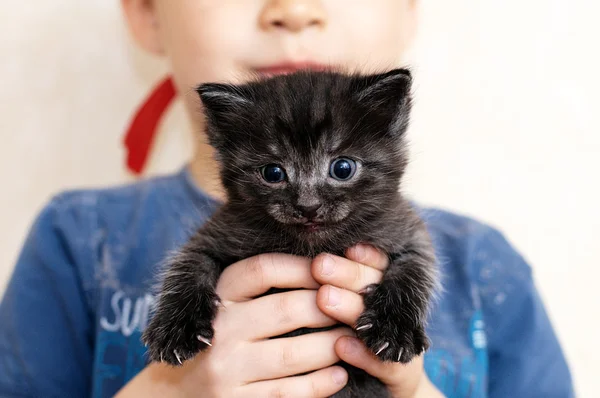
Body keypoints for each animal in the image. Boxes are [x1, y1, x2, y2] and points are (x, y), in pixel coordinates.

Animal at [143, 68, 438, 394]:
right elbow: (189, 263)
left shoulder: (406, 228)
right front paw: (176, 328)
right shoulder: (216, 232)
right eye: (273, 173)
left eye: (343, 168)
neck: (313, 246)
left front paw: (393, 328)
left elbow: (414, 267)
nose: (308, 206)